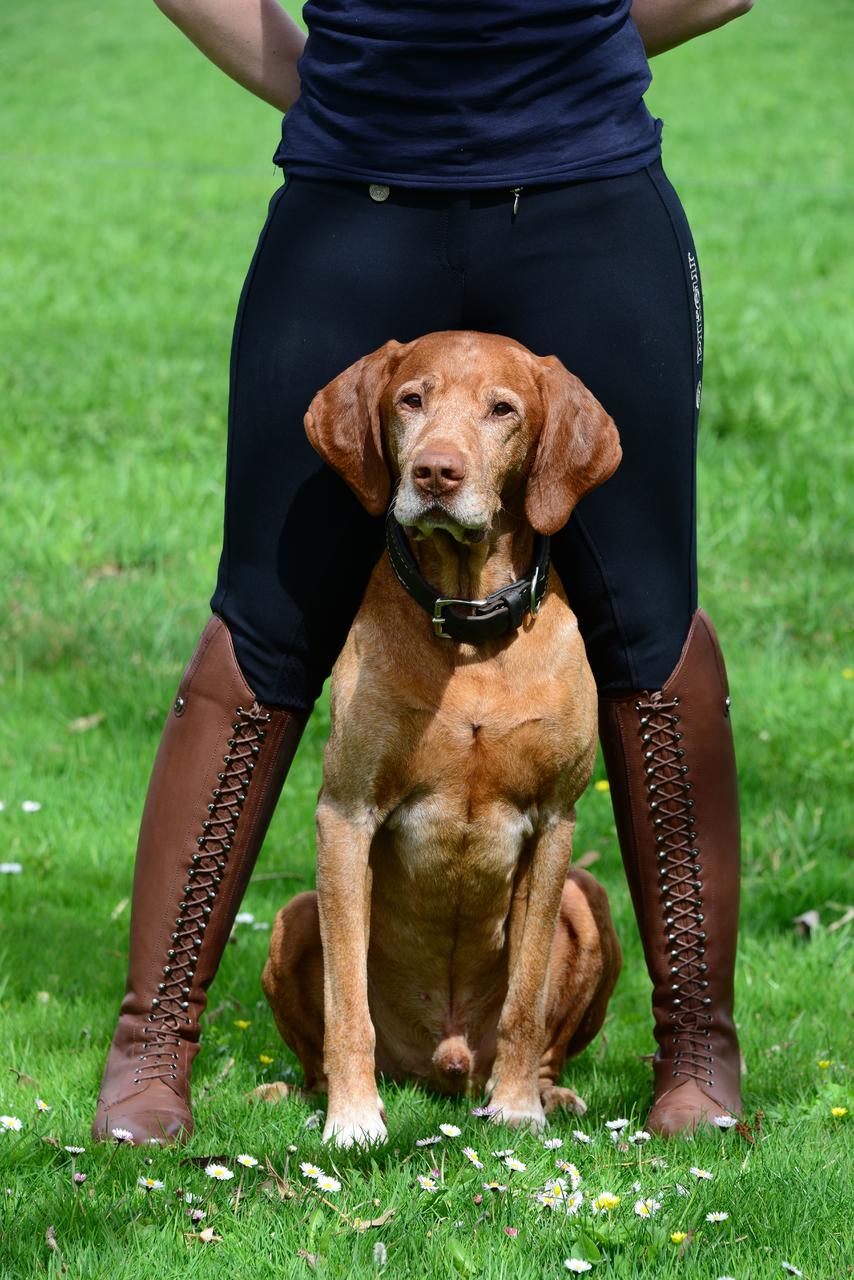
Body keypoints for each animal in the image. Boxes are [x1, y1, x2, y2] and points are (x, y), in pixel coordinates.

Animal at [258, 332, 622, 1152]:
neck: (469, 629)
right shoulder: (346, 814)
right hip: (294, 915)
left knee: (545, 1039)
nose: (434, 472)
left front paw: (516, 1107)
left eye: (503, 409)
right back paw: (302, 1092)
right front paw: (353, 1118)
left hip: (587, 899)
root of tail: (445, 1065)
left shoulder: (555, 823)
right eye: (411, 400)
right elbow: (346, 1002)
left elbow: (524, 998)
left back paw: (548, 1094)